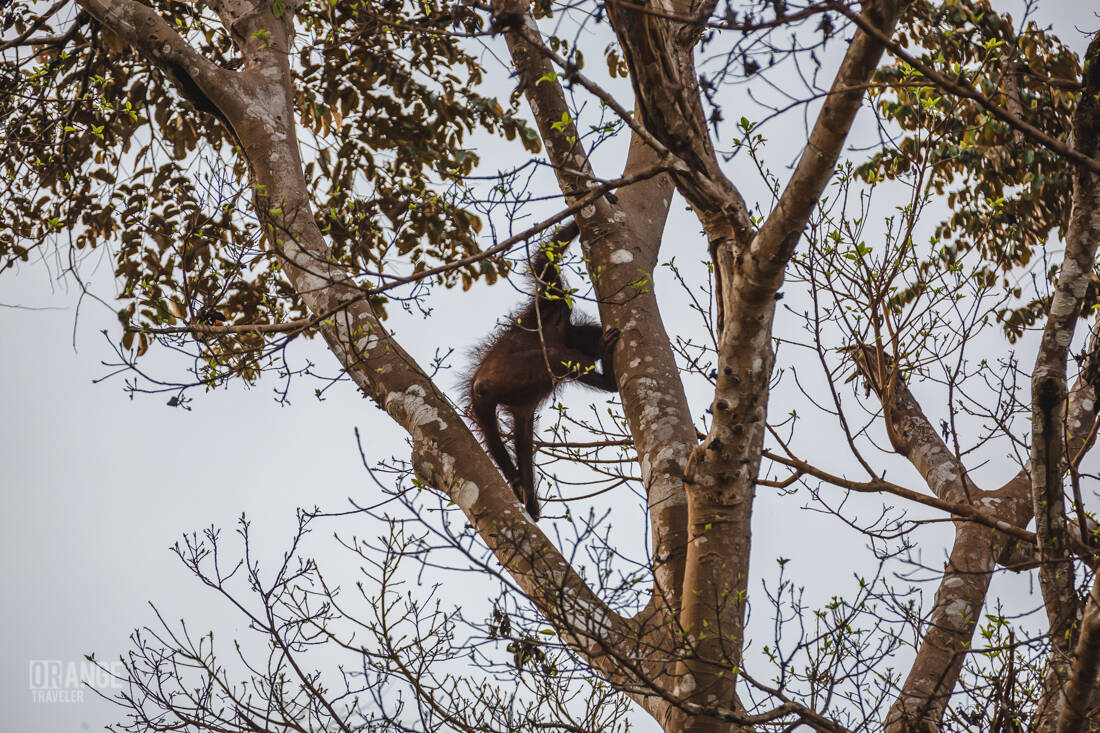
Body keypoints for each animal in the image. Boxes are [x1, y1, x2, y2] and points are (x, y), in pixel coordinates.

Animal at [466, 221, 620, 520]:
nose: (594, 352)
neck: (565, 334)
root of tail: (477, 388)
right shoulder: (554, 304)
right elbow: (544, 265)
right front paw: (580, 216)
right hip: (505, 375)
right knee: (556, 358)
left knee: (521, 429)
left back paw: (522, 487)